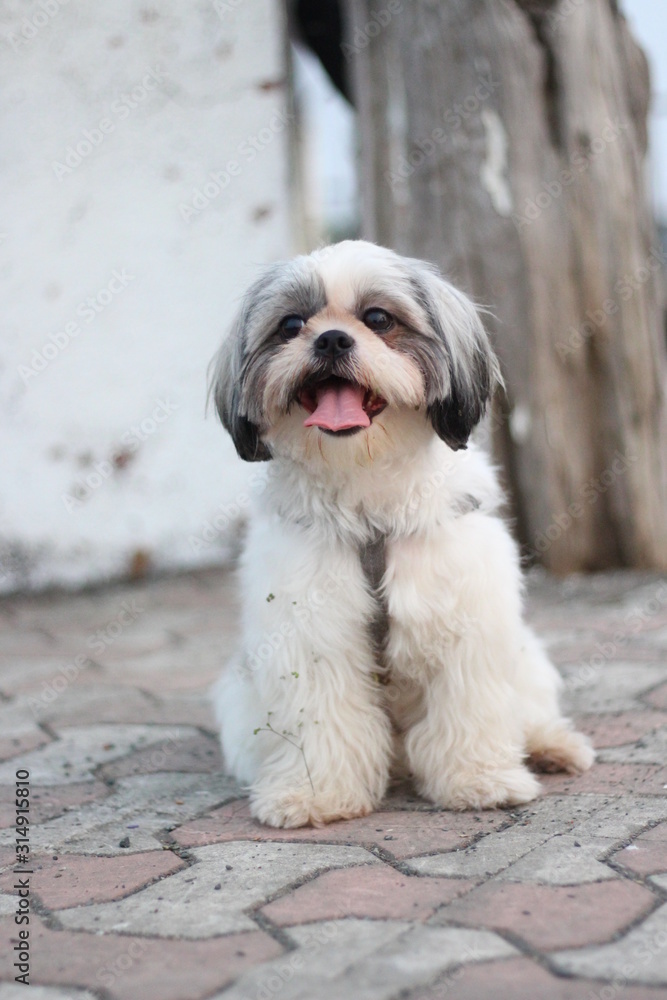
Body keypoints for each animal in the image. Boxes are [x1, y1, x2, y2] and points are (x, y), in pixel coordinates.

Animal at [210, 240, 596, 828]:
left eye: (378, 319)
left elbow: (470, 705)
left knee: (529, 711)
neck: (368, 497)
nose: (331, 337)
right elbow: (323, 717)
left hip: (527, 659)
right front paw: (317, 793)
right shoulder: (311, 634)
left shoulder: (465, 618)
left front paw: (479, 779)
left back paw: (552, 746)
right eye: (291, 325)